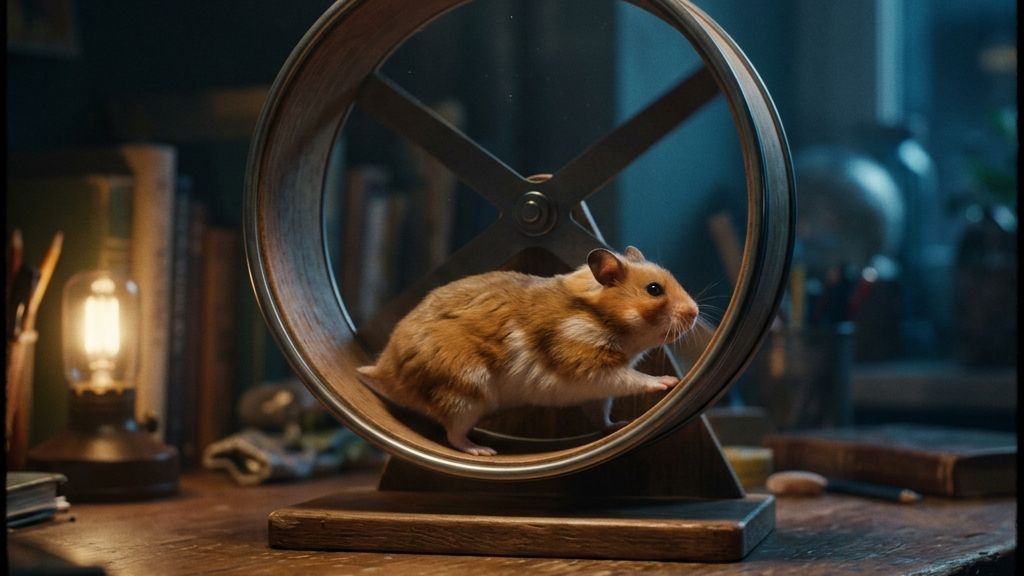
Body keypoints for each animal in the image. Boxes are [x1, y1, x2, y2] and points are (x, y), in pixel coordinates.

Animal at [357, 246, 699, 455]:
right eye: (654, 289)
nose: (695, 312)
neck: (603, 317)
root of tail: (384, 370)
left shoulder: (597, 392)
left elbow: (601, 413)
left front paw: (621, 426)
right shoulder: (588, 368)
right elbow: (633, 379)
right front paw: (668, 382)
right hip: (464, 392)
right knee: (453, 435)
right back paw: (483, 451)